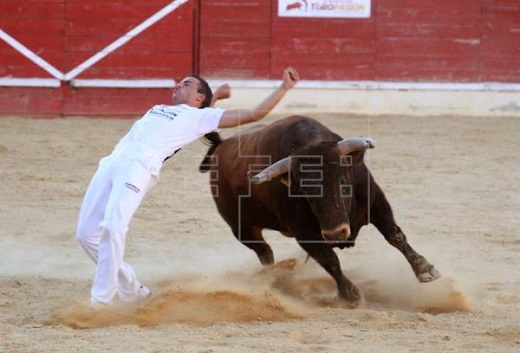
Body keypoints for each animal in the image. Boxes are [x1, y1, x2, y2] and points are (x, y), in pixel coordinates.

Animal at [199, 115, 438, 306]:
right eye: (305, 192)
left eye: (343, 182)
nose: (336, 233)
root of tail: (221, 145)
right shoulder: (305, 234)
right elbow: (330, 260)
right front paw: (350, 295)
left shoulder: (376, 202)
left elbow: (394, 235)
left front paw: (424, 269)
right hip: (241, 228)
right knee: (265, 253)